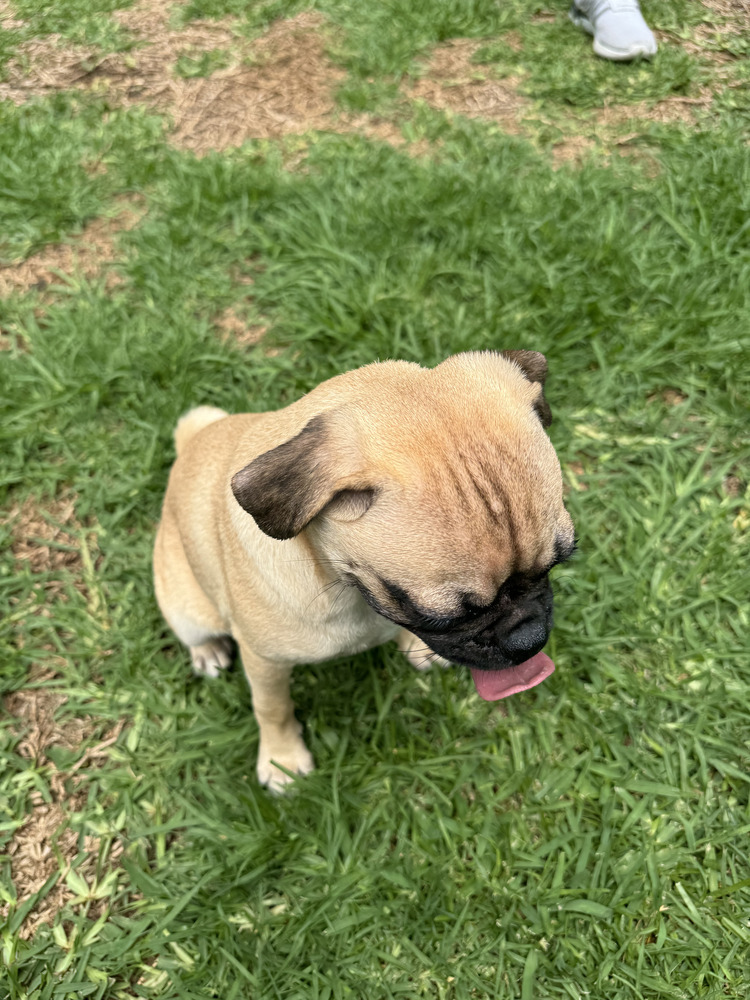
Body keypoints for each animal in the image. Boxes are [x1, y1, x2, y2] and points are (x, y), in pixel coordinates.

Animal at [153, 352, 576, 788]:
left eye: (557, 564)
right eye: (440, 616)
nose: (529, 638)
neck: (346, 589)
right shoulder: (264, 661)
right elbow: (273, 709)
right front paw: (281, 759)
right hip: (185, 607)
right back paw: (207, 651)